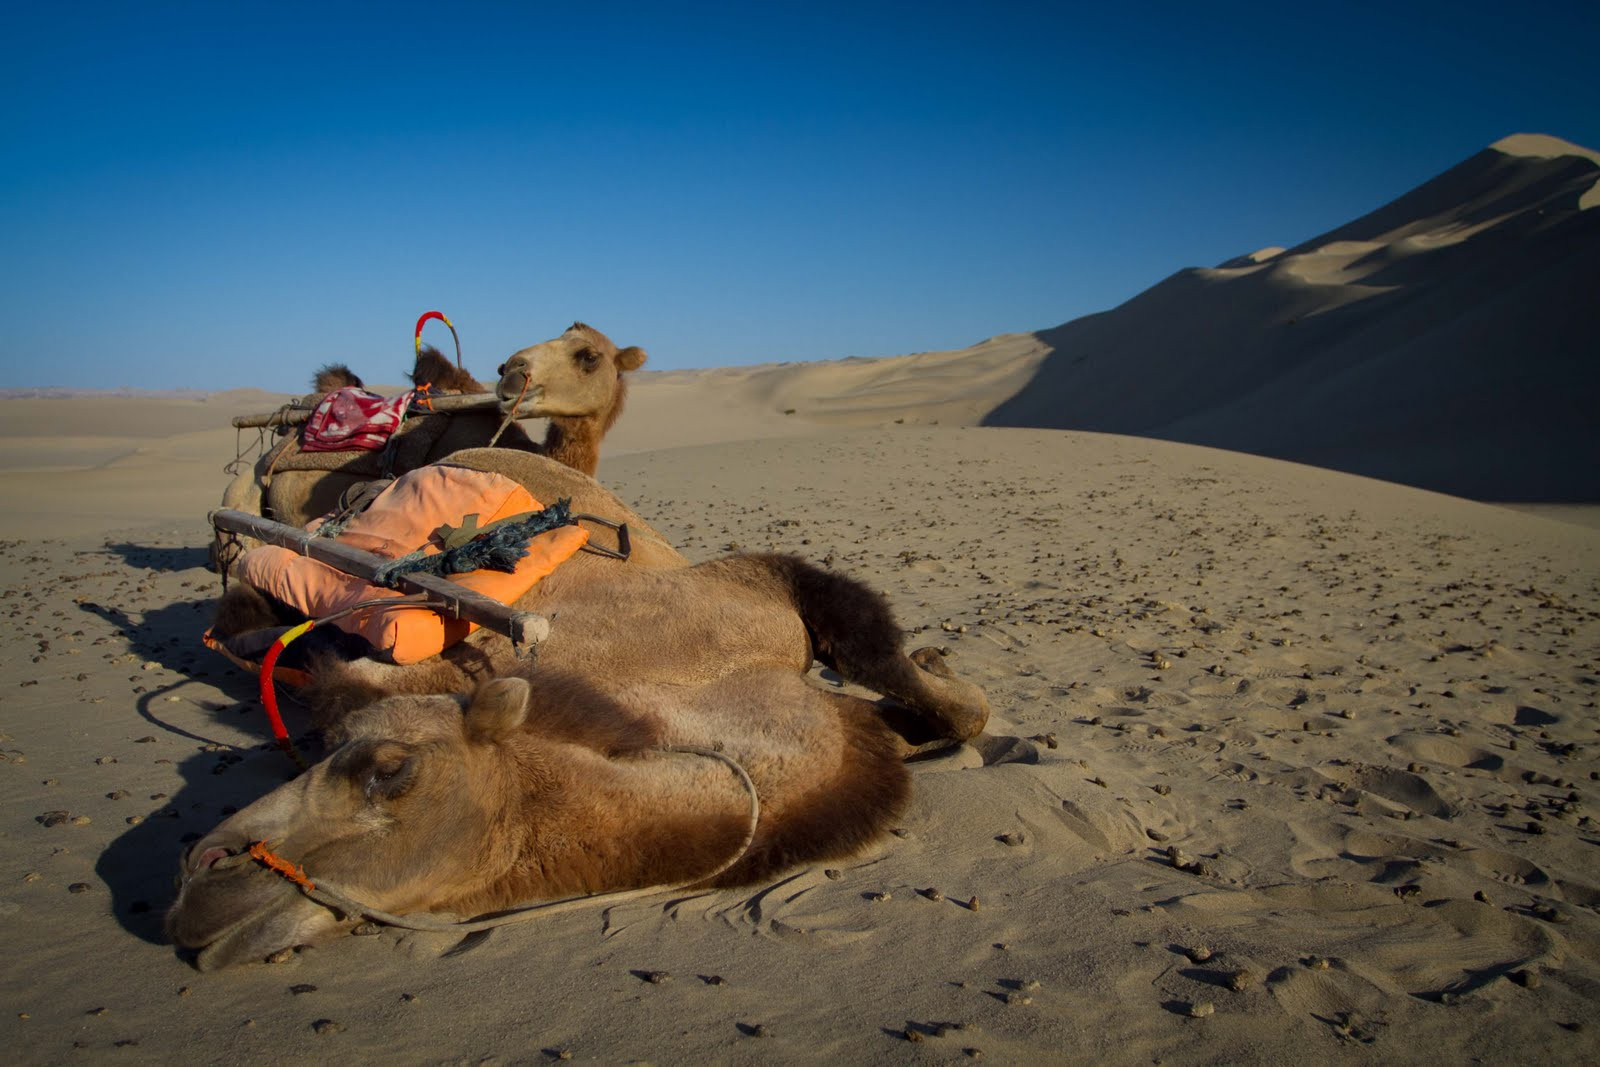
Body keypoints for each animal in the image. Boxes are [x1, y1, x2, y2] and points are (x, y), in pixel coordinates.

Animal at [175, 451, 985, 966]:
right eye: (329, 741)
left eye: (388, 768)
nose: (201, 873)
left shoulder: (758, 586)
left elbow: (921, 687)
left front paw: (931, 673)